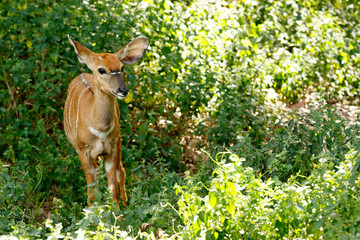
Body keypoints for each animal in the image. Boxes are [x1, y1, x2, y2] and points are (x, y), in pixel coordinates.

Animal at [64, 34, 149, 207]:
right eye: (102, 70)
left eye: (122, 68)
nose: (123, 90)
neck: (100, 130)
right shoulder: (83, 151)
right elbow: (91, 190)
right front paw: (92, 213)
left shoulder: (112, 147)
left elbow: (112, 188)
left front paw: (118, 213)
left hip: (119, 142)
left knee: (120, 172)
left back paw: (126, 204)